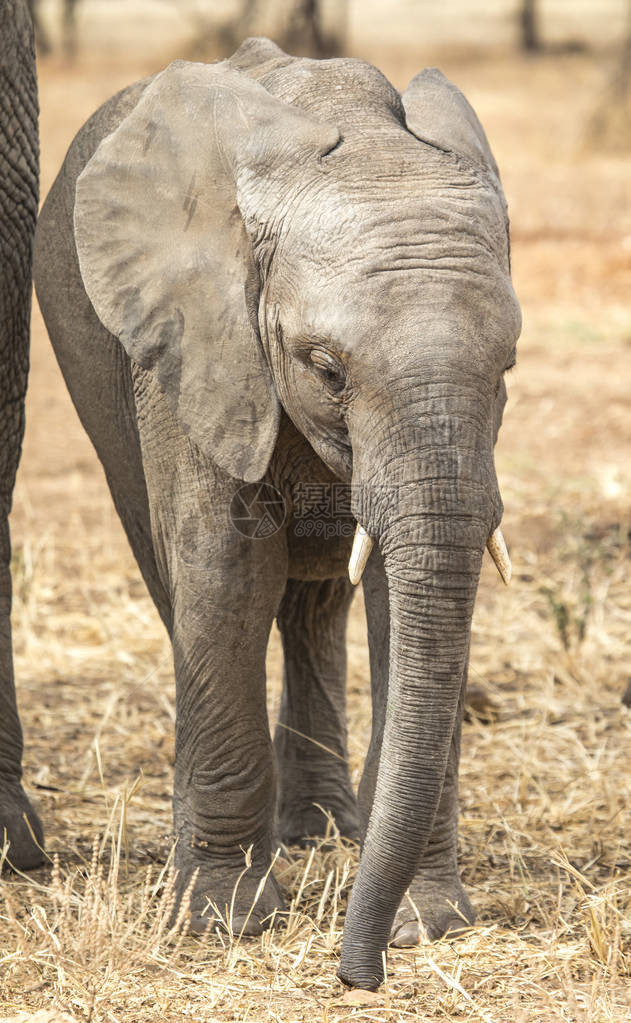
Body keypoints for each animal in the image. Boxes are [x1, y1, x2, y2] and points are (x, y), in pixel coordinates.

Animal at [31, 39, 519, 990]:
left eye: (508, 365)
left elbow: (406, 605)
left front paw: (429, 922)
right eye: (324, 367)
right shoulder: (193, 342)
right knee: (185, 584)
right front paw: (225, 919)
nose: (357, 974)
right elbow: (224, 575)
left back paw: (321, 830)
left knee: (315, 603)